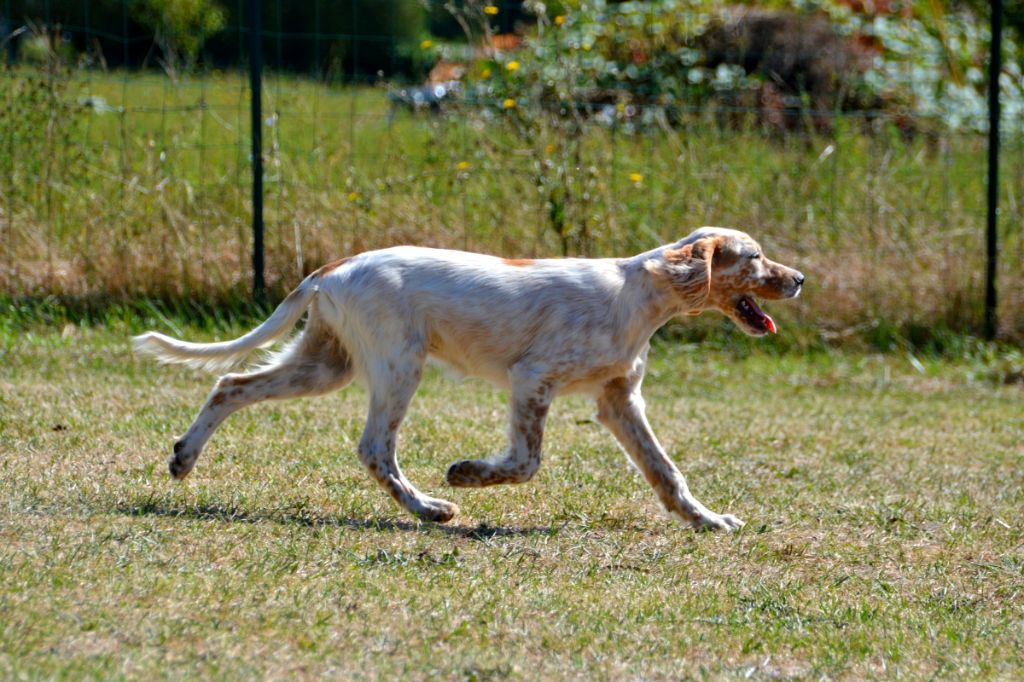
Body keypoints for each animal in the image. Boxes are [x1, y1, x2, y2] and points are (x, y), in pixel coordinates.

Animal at [132, 225, 802, 528]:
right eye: (756, 257)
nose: (797, 279)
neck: (639, 294)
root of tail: (336, 266)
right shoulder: (534, 379)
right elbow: (526, 462)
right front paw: (467, 474)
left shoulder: (619, 400)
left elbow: (666, 471)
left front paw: (708, 521)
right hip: (398, 364)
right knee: (374, 447)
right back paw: (429, 507)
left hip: (327, 364)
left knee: (230, 385)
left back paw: (183, 457)